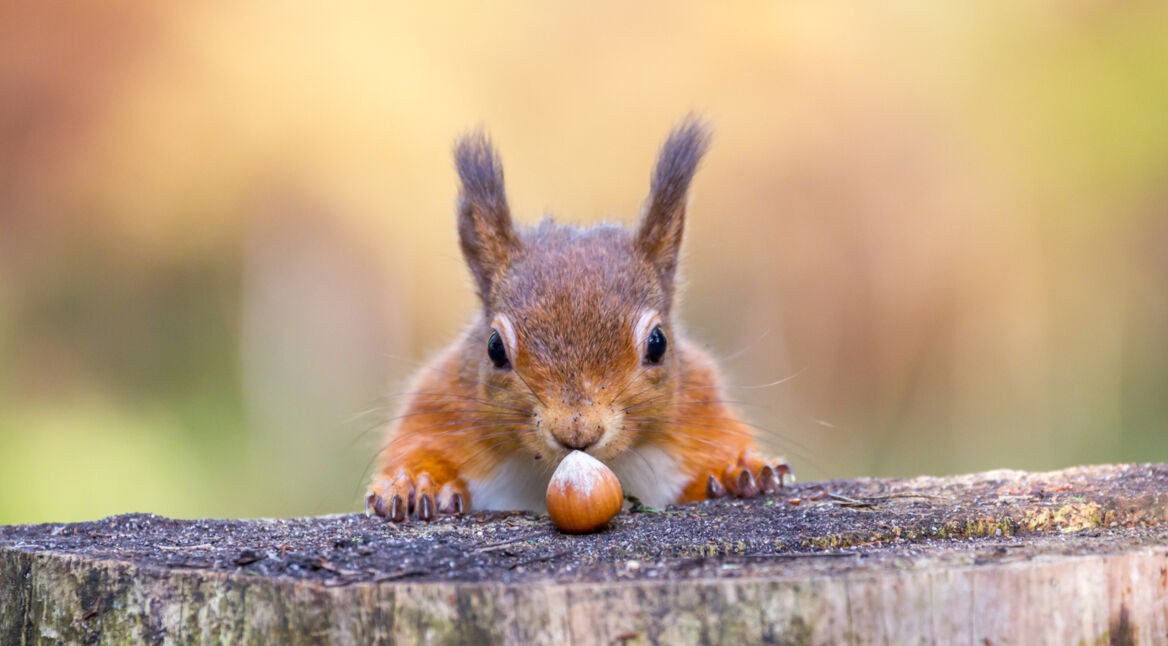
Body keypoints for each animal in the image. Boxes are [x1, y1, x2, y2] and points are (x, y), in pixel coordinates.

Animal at [366, 118, 790, 522]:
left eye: (658, 343)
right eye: (494, 348)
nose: (577, 431)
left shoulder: (699, 407)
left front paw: (740, 469)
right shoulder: (441, 405)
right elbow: (419, 444)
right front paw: (415, 482)